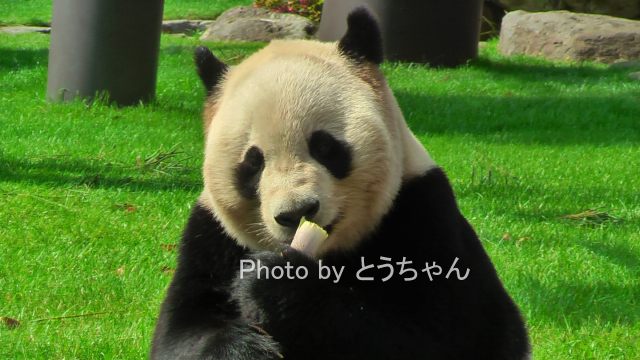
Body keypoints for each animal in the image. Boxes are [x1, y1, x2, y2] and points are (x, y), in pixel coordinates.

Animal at [151, 7, 528, 360]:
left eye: (324, 147)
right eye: (254, 163)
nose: (297, 212)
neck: (325, 252)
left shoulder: (423, 210)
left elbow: (443, 334)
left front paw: (275, 282)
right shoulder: (212, 236)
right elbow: (179, 332)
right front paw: (245, 346)